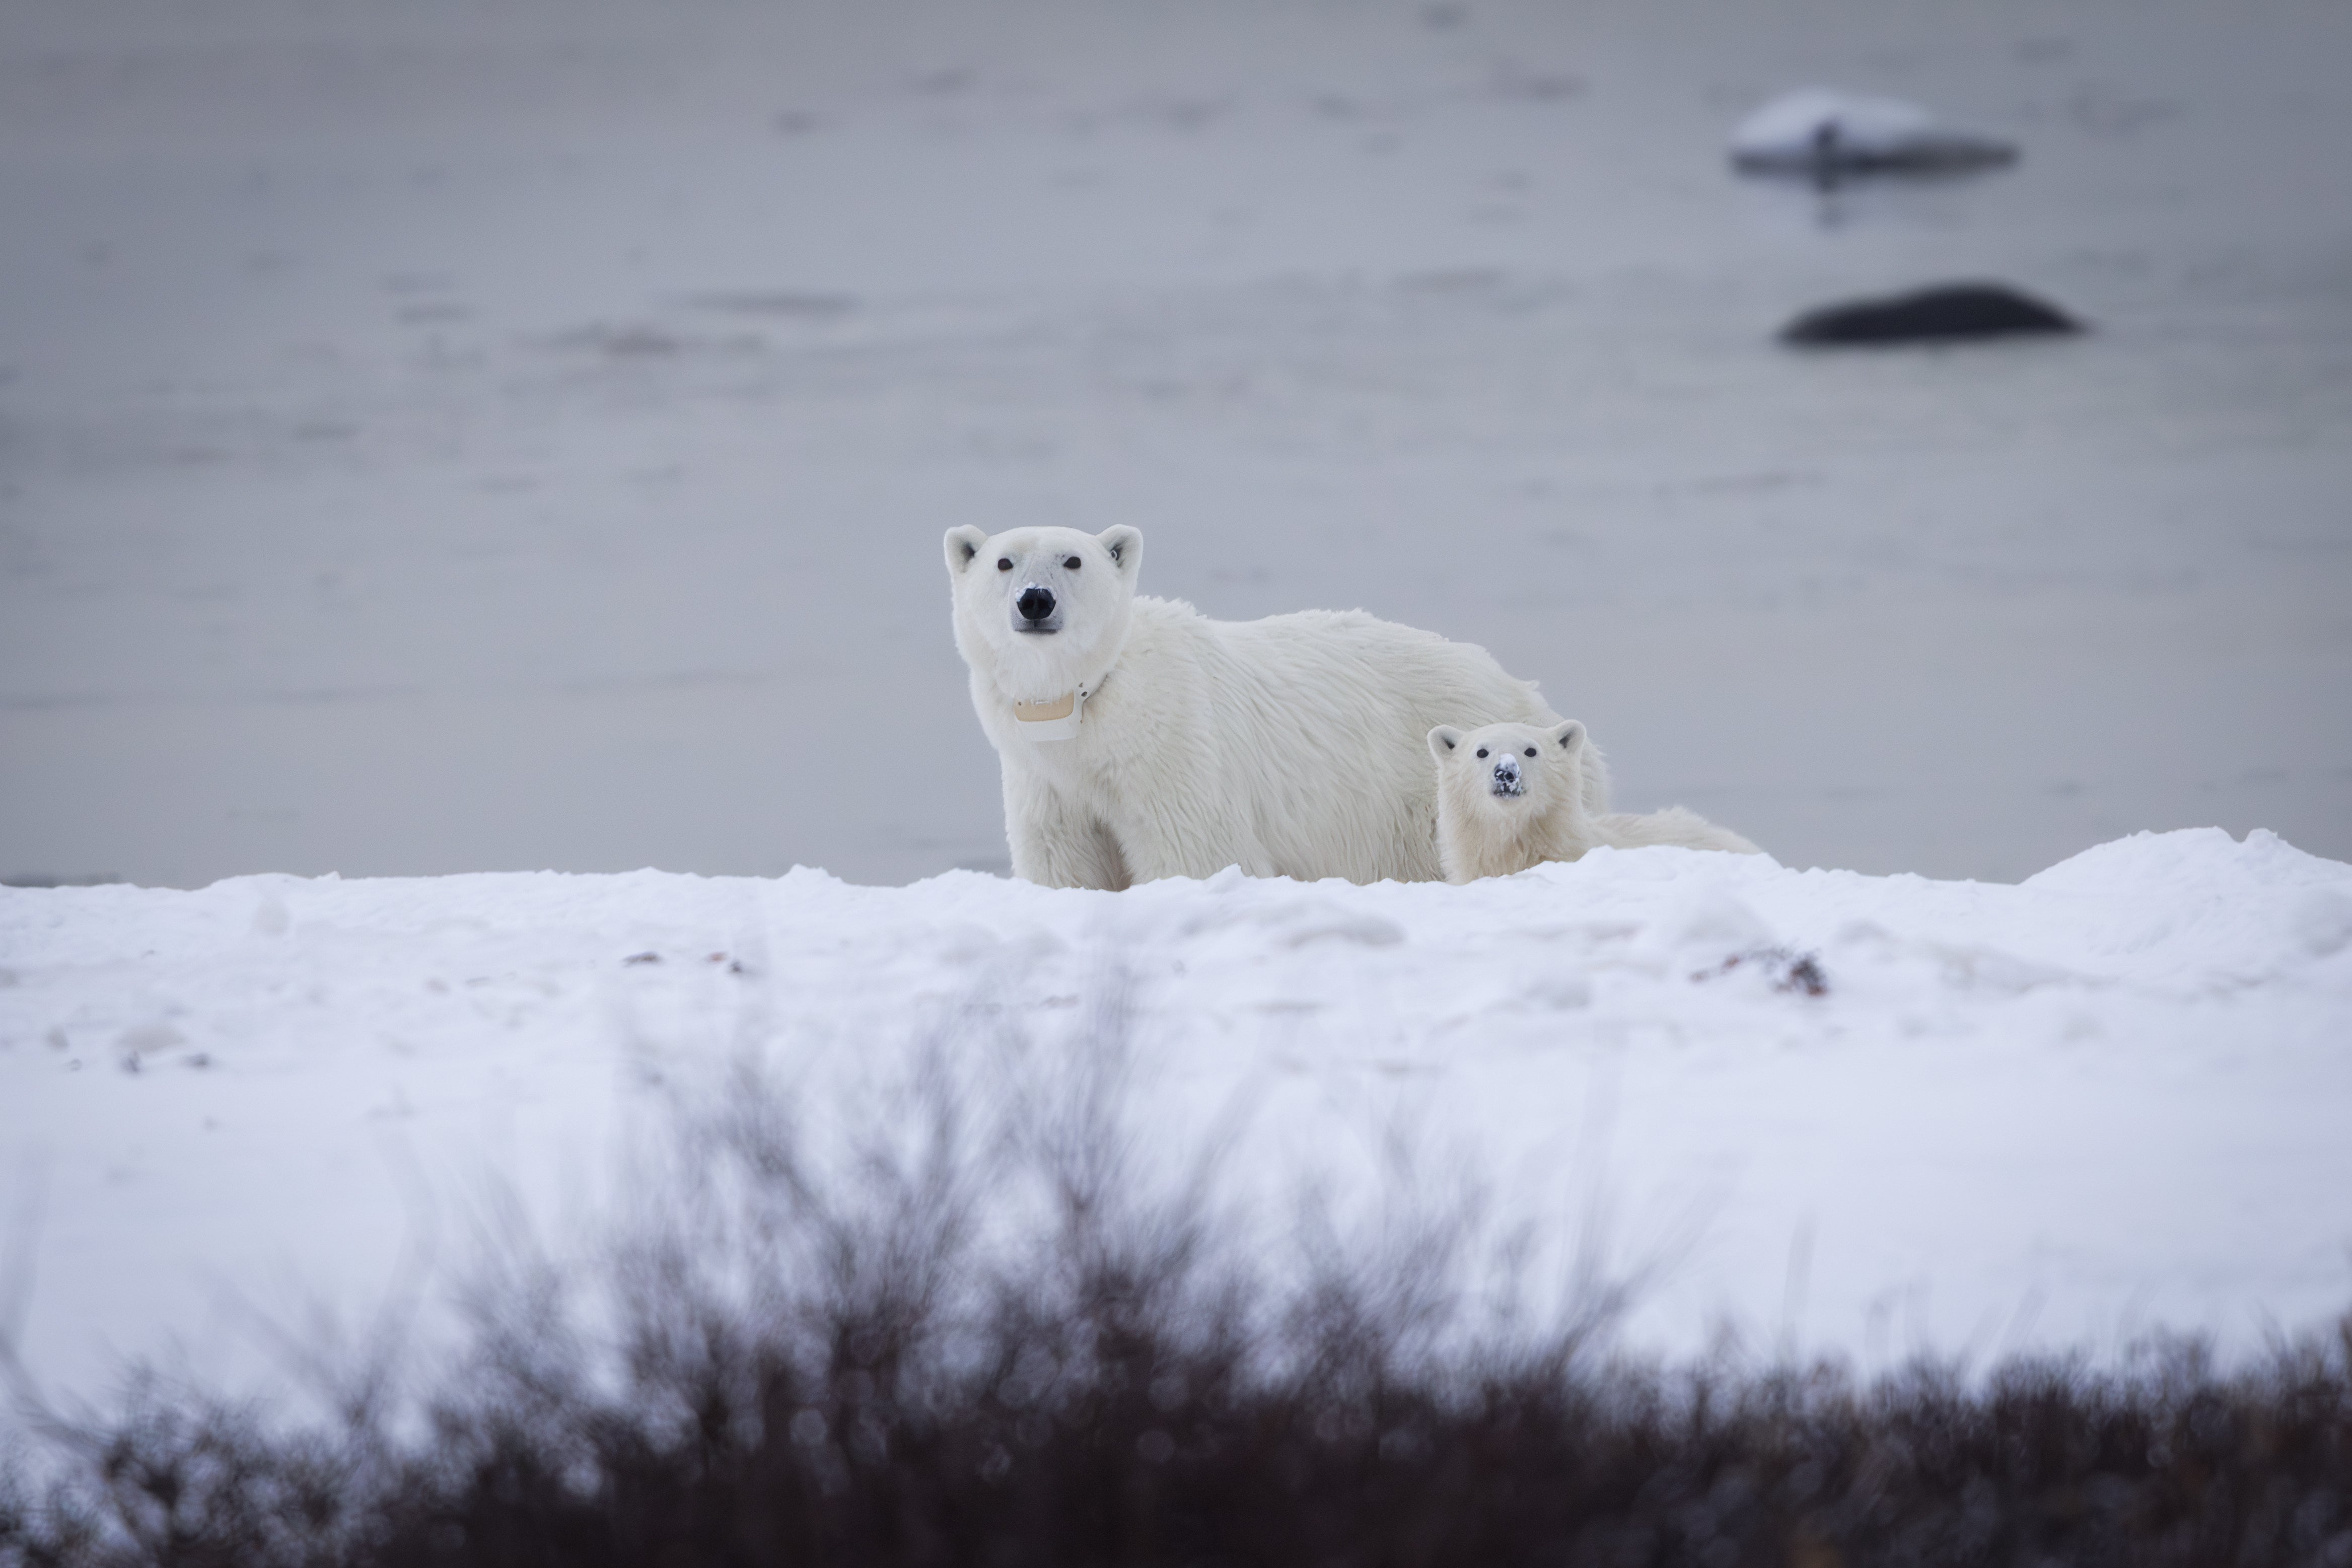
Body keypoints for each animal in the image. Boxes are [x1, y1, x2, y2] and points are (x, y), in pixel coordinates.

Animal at [945, 524, 1607, 889]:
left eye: (1073, 559)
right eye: (1003, 562)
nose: (1035, 600)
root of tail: (1526, 689)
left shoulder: (1177, 754)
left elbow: (1199, 855)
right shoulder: (1046, 780)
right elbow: (1064, 865)